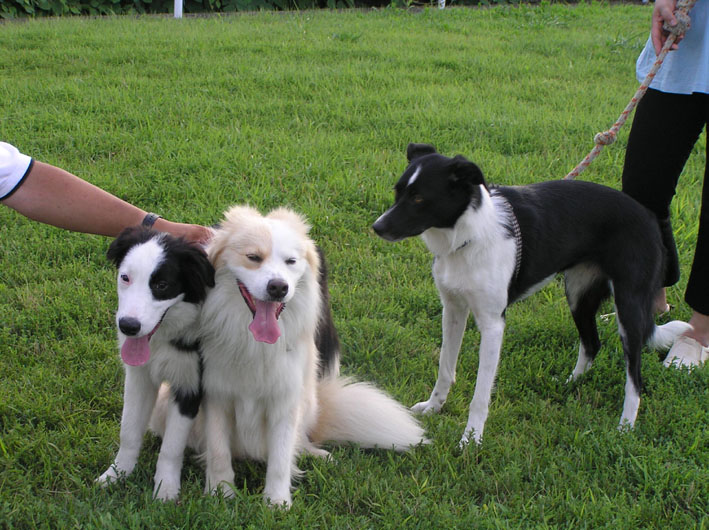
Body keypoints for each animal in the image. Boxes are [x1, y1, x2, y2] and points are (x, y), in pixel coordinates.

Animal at [96, 227, 215, 500]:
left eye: (162, 285)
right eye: (125, 278)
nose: (128, 327)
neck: (164, 338)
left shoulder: (191, 385)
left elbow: (172, 446)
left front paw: (166, 490)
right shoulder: (138, 377)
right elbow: (128, 431)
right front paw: (117, 474)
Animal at [196, 205, 427, 507]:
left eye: (291, 261)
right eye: (253, 257)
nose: (278, 287)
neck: (255, 345)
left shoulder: (285, 401)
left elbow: (281, 457)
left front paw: (276, 502)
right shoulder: (217, 397)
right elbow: (218, 449)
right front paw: (220, 492)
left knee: (301, 440)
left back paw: (316, 454)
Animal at [372, 143, 691, 447]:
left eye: (419, 198)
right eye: (398, 192)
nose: (377, 227)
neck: (469, 235)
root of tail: (650, 218)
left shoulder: (493, 325)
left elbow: (480, 394)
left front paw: (471, 439)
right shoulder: (452, 309)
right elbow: (444, 367)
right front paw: (433, 408)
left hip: (628, 307)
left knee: (635, 378)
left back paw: (625, 427)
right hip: (578, 294)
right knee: (591, 343)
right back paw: (569, 384)